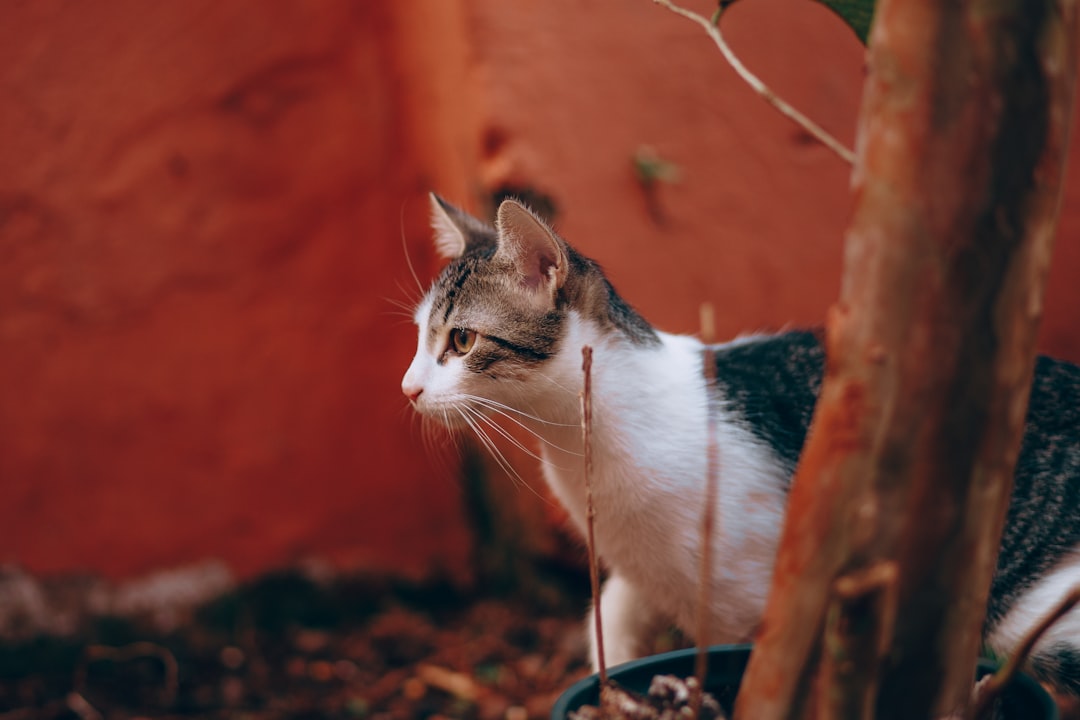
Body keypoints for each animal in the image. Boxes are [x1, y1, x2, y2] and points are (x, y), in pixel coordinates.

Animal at [401, 194, 1080, 695]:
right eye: (419, 337)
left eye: (461, 340)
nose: (407, 388)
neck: (581, 446)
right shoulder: (638, 575)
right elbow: (612, 623)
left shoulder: (761, 600)